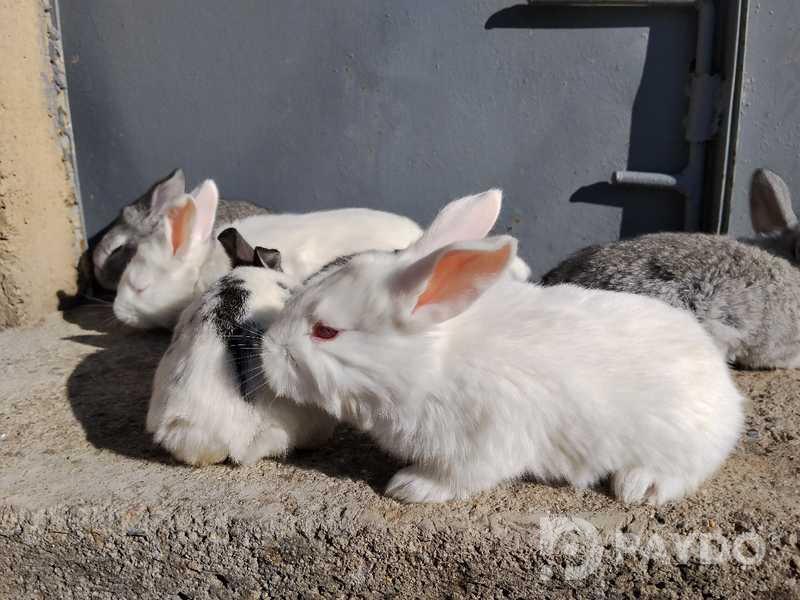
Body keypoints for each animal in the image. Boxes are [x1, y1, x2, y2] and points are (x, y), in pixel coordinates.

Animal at [260, 189, 744, 505]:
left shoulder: (484, 440)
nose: (265, 352)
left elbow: (460, 478)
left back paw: (639, 487)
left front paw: (409, 488)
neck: (426, 364)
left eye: (326, 331)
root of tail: (726, 393)